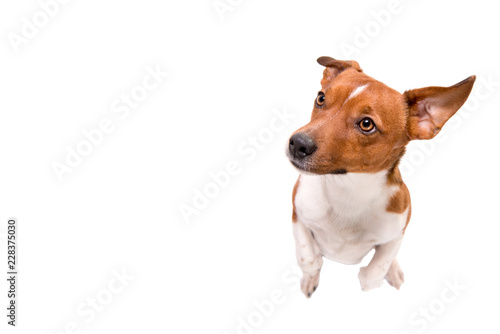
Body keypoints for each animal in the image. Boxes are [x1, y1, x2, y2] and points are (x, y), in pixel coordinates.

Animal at [288, 57, 474, 298]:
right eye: (321, 98)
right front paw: (311, 272)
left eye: (367, 124)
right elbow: (308, 257)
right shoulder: (298, 215)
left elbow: (376, 269)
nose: (297, 143)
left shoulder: (396, 233)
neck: (347, 191)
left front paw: (373, 278)